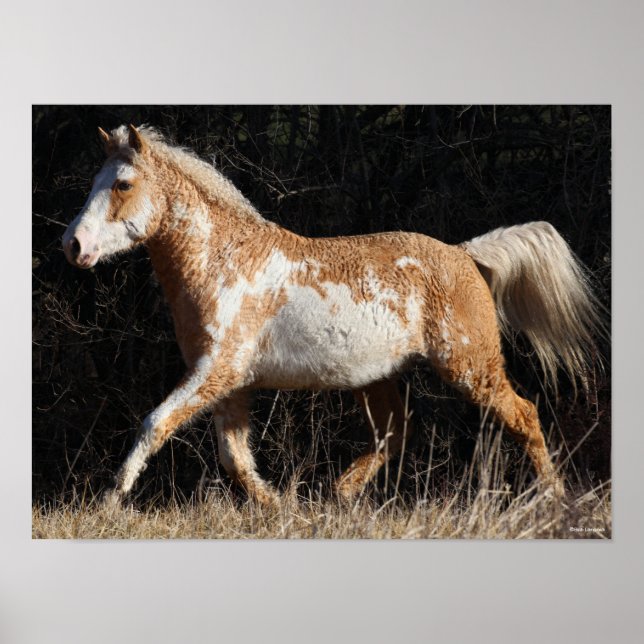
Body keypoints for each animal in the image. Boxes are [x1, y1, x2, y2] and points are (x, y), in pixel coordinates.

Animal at [62, 124, 605, 506]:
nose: (74, 245)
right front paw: (279, 507)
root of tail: (463, 253)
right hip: (378, 377)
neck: (222, 260)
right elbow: (235, 458)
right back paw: (340, 492)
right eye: (93, 182)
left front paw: (109, 499)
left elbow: (155, 424)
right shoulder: (228, 382)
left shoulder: (216, 371)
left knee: (524, 415)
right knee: (395, 433)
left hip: (471, 368)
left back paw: (553, 499)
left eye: (123, 184)